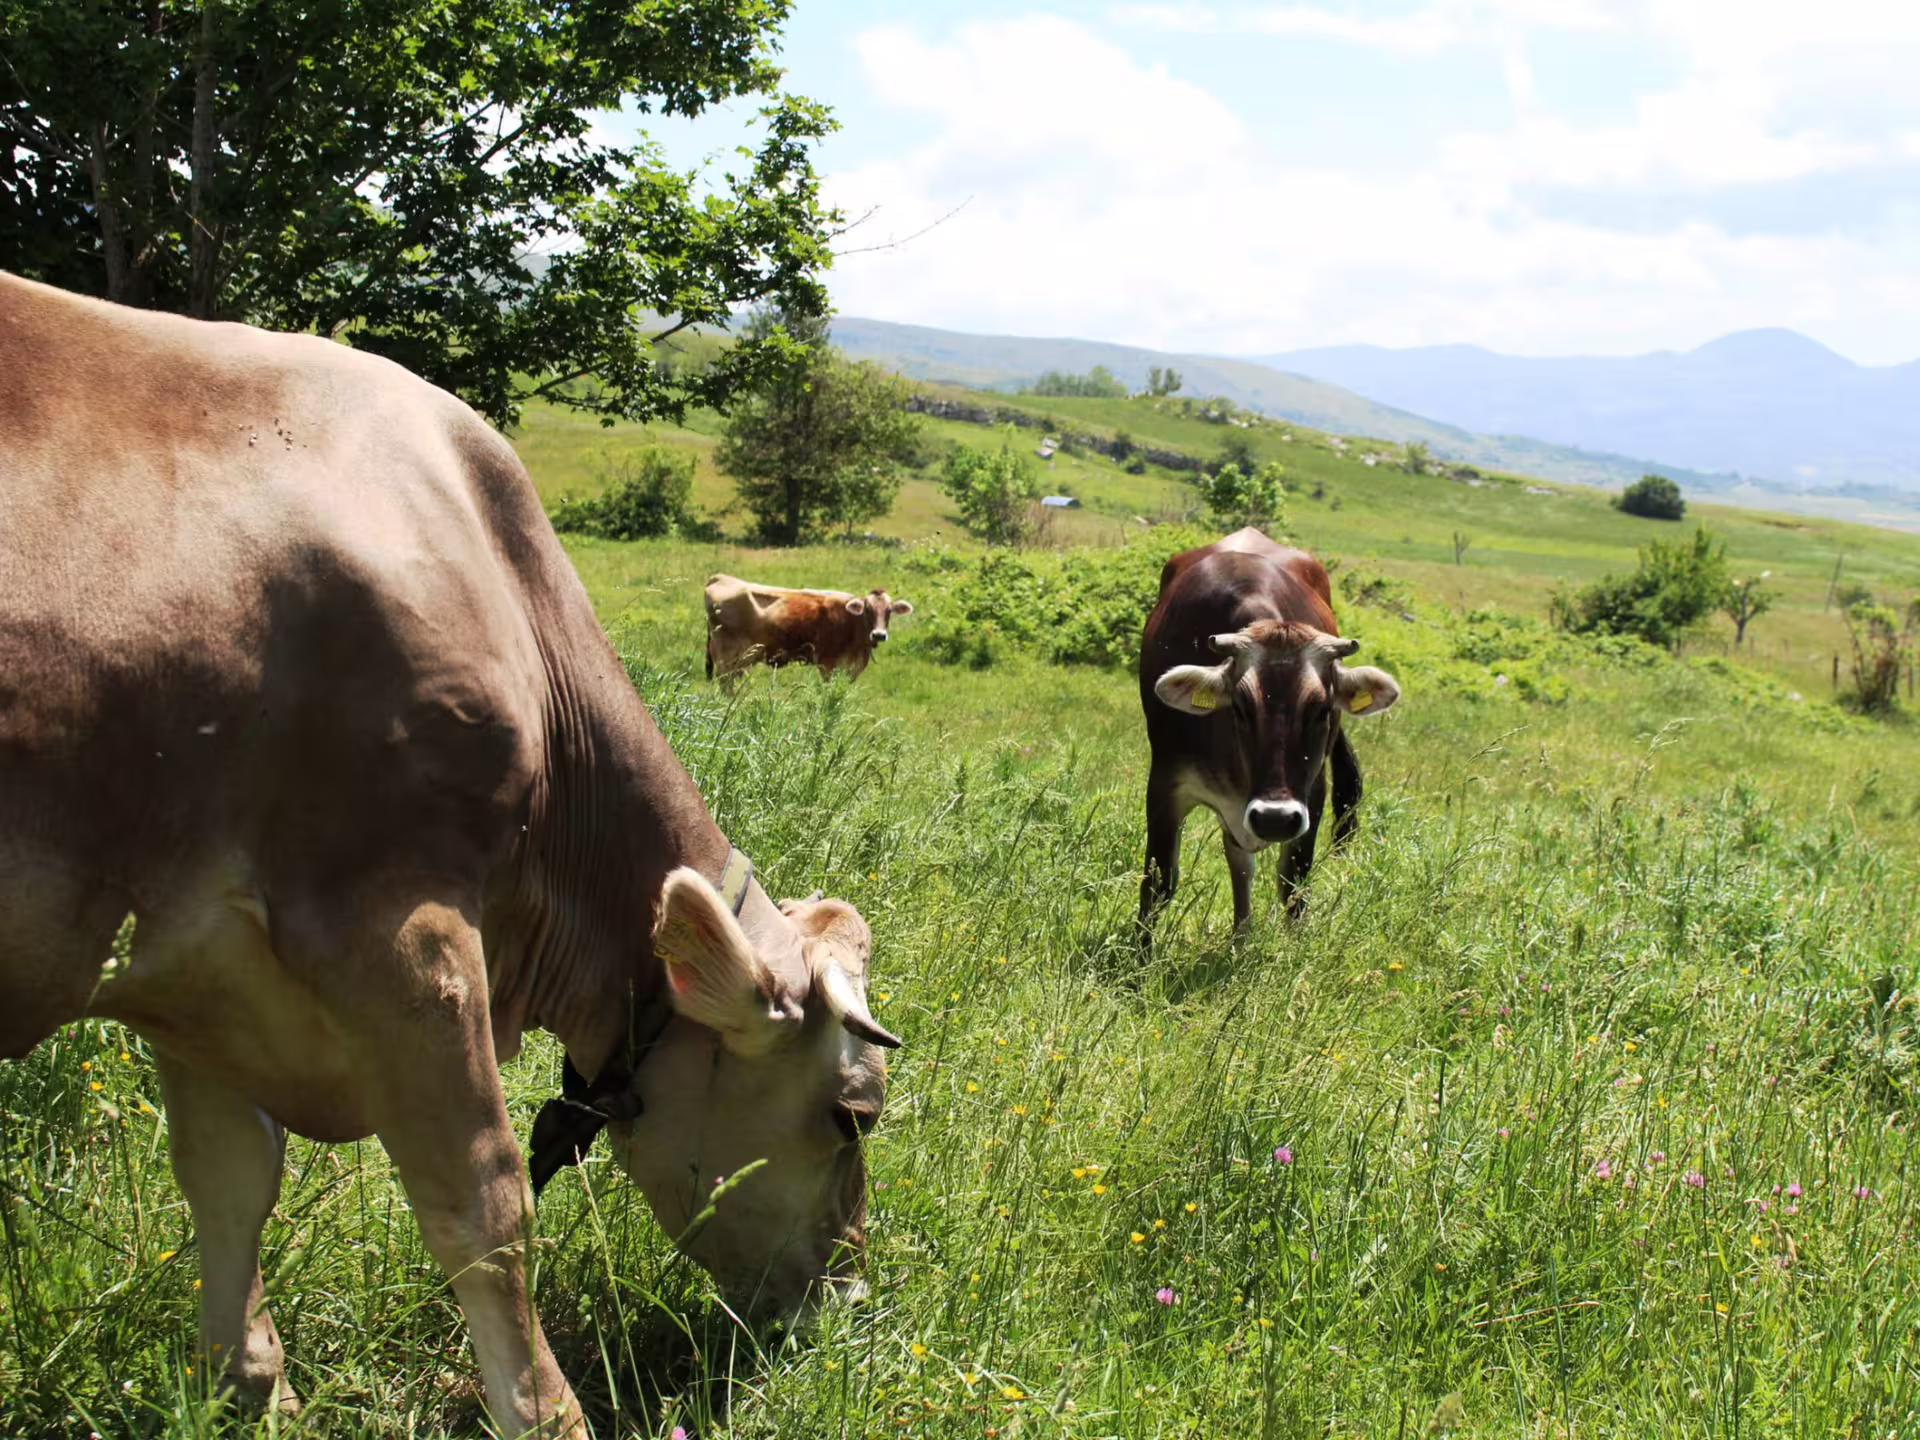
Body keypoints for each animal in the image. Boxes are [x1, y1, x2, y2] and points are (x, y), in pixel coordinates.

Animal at [705, 574, 913, 681]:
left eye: (889, 611)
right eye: (867, 610)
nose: (878, 635)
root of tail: (720, 577)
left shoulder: (851, 668)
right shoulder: (828, 664)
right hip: (729, 655)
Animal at [1137, 527, 1400, 936]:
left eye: (1322, 709)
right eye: (1240, 708)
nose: (1274, 818)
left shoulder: (1312, 792)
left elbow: (1293, 885)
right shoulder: (1166, 783)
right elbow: (1159, 884)